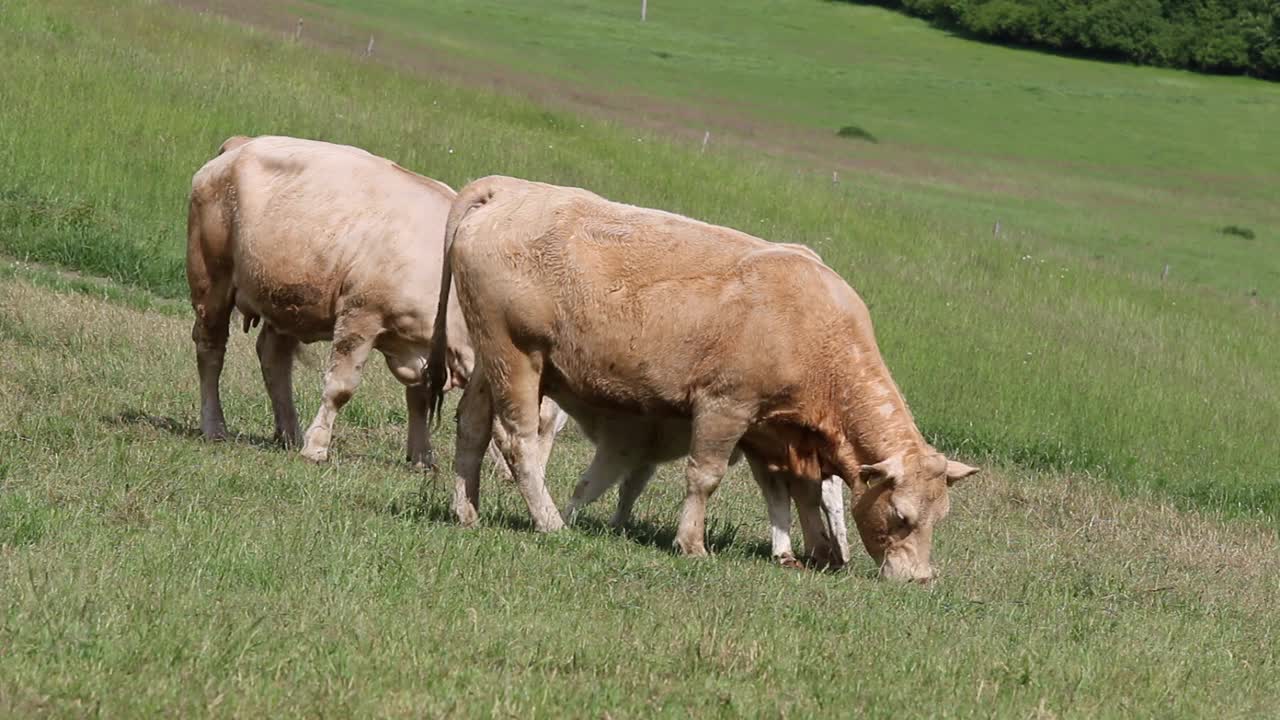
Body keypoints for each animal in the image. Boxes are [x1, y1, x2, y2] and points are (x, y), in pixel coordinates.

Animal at [424, 176, 972, 579]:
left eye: (939, 517)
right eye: (901, 516)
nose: (919, 578)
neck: (818, 336)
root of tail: (511, 189)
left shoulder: (786, 433)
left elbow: (803, 491)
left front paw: (818, 552)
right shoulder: (726, 405)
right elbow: (705, 475)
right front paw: (692, 543)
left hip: (490, 360)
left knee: (471, 427)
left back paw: (466, 511)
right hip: (517, 356)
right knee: (518, 441)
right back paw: (550, 520)